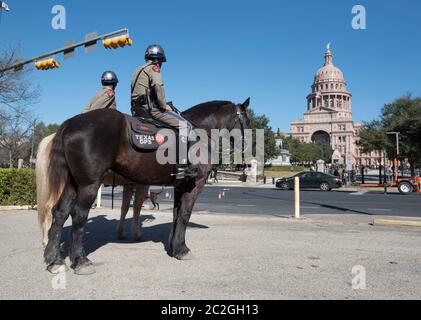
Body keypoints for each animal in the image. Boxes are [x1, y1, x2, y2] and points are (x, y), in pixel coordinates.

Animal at [40, 100, 248, 276]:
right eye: (246, 120)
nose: (248, 146)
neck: (200, 133)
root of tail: (71, 123)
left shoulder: (179, 187)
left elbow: (176, 215)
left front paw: (174, 247)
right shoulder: (194, 186)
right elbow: (184, 215)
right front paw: (182, 249)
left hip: (72, 184)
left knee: (60, 212)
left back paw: (54, 259)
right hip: (88, 184)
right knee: (78, 215)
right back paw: (80, 261)